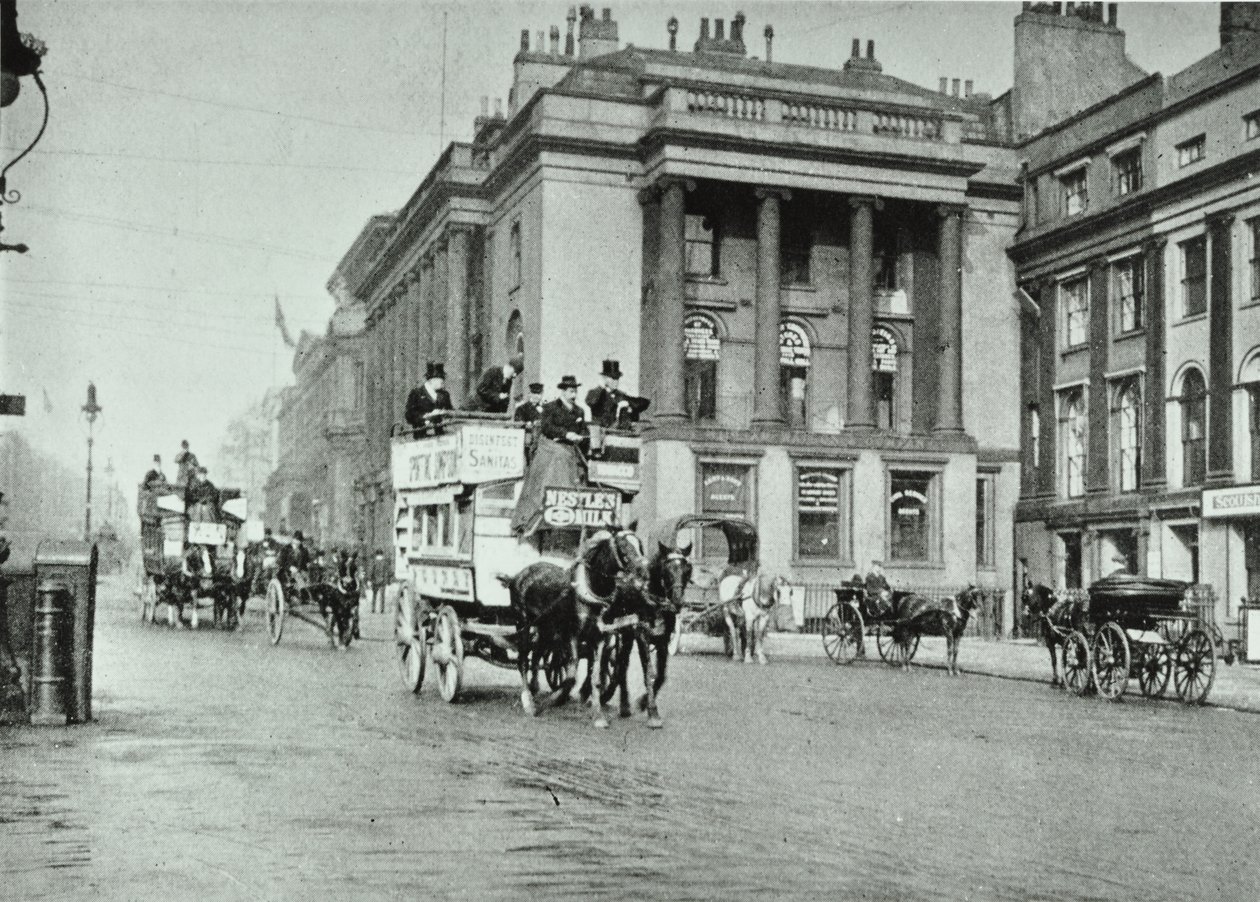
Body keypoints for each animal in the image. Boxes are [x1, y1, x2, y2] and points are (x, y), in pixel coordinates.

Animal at [496, 529, 645, 725]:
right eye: (622, 546)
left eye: (639, 544)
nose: (642, 570)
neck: (591, 591)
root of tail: (517, 576)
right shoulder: (572, 635)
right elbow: (571, 676)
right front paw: (555, 699)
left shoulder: (599, 637)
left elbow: (596, 677)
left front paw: (598, 715)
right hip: (523, 623)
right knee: (523, 660)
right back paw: (528, 701)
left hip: (545, 628)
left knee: (535, 657)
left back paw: (535, 690)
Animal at [597, 541, 695, 725]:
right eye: (667, 569)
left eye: (687, 569)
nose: (678, 601)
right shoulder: (641, 634)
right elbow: (649, 673)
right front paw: (653, 712)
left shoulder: (663, 638)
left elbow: (661, 675)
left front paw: (642, 703)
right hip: (617, 626)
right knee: (613, 658)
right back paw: (608, 695)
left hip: (627, 633)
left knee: (622, 663)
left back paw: (624, 705)